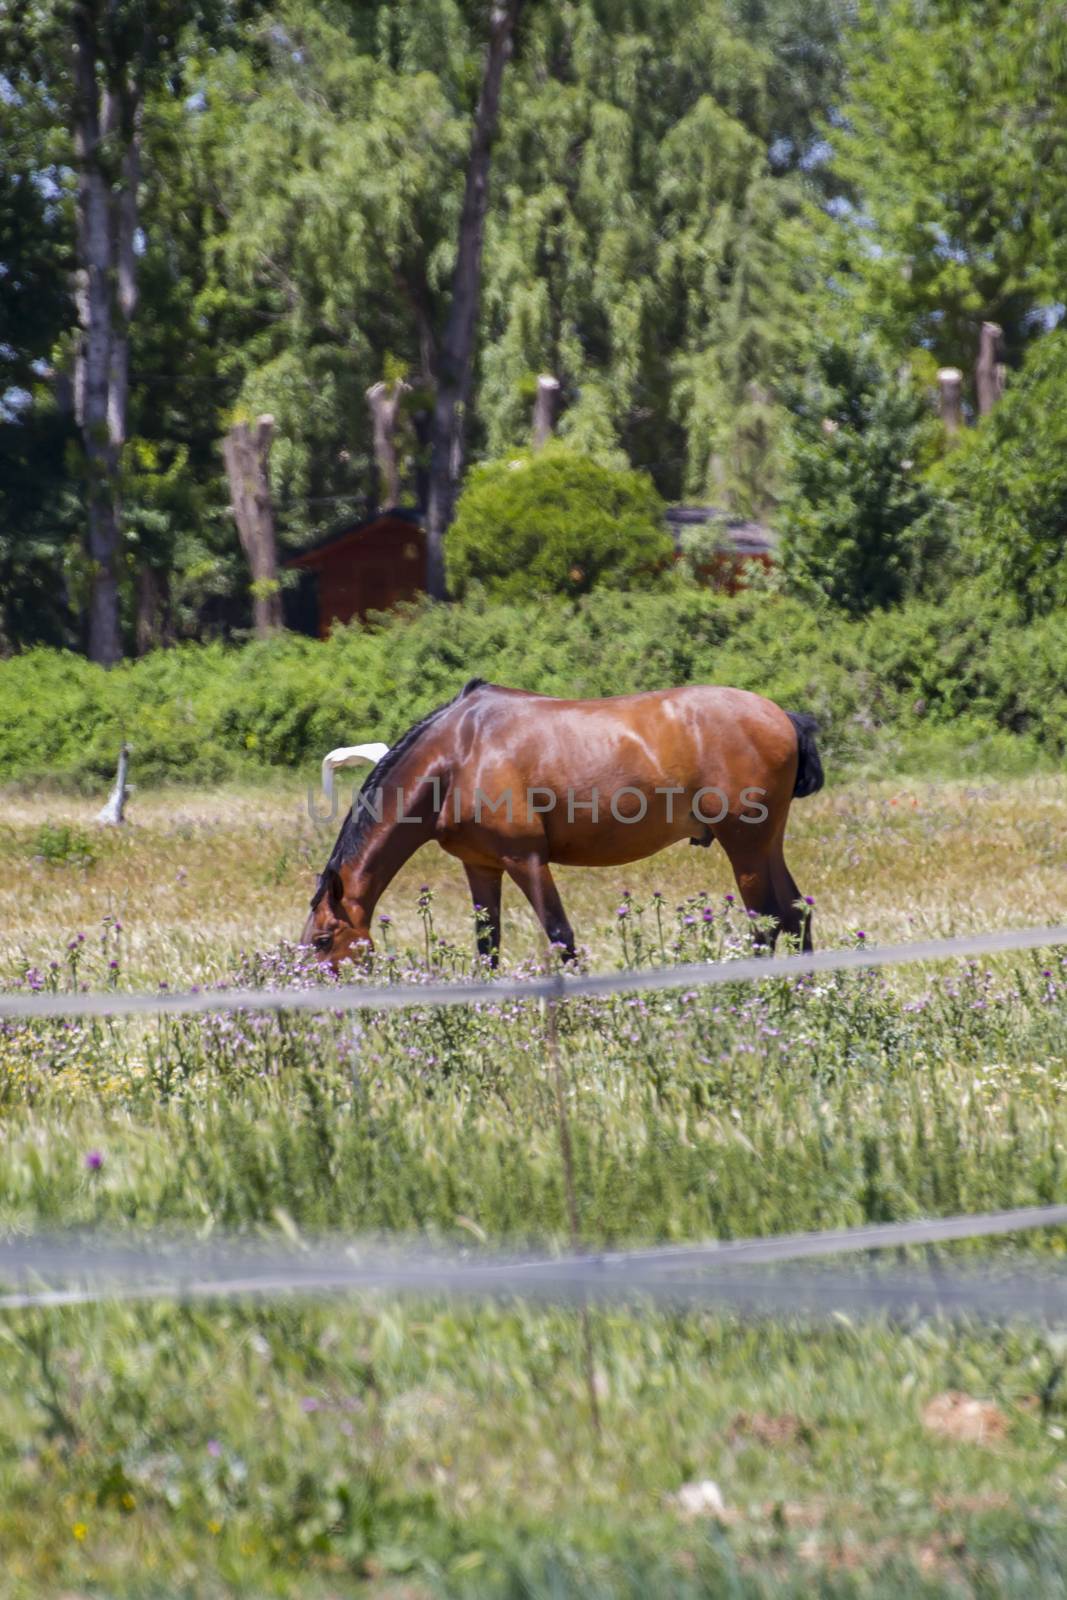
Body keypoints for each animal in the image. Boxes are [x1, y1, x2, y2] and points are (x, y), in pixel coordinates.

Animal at [300, 672, 825, 960]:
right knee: (795, 915)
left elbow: (560, 937)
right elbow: (488, 946)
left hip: (746, 847)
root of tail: (784, 717)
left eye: (323, 940)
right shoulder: (481, 866)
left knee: (768, 923)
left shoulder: (526, 860)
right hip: (765, 845)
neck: (458, 755)